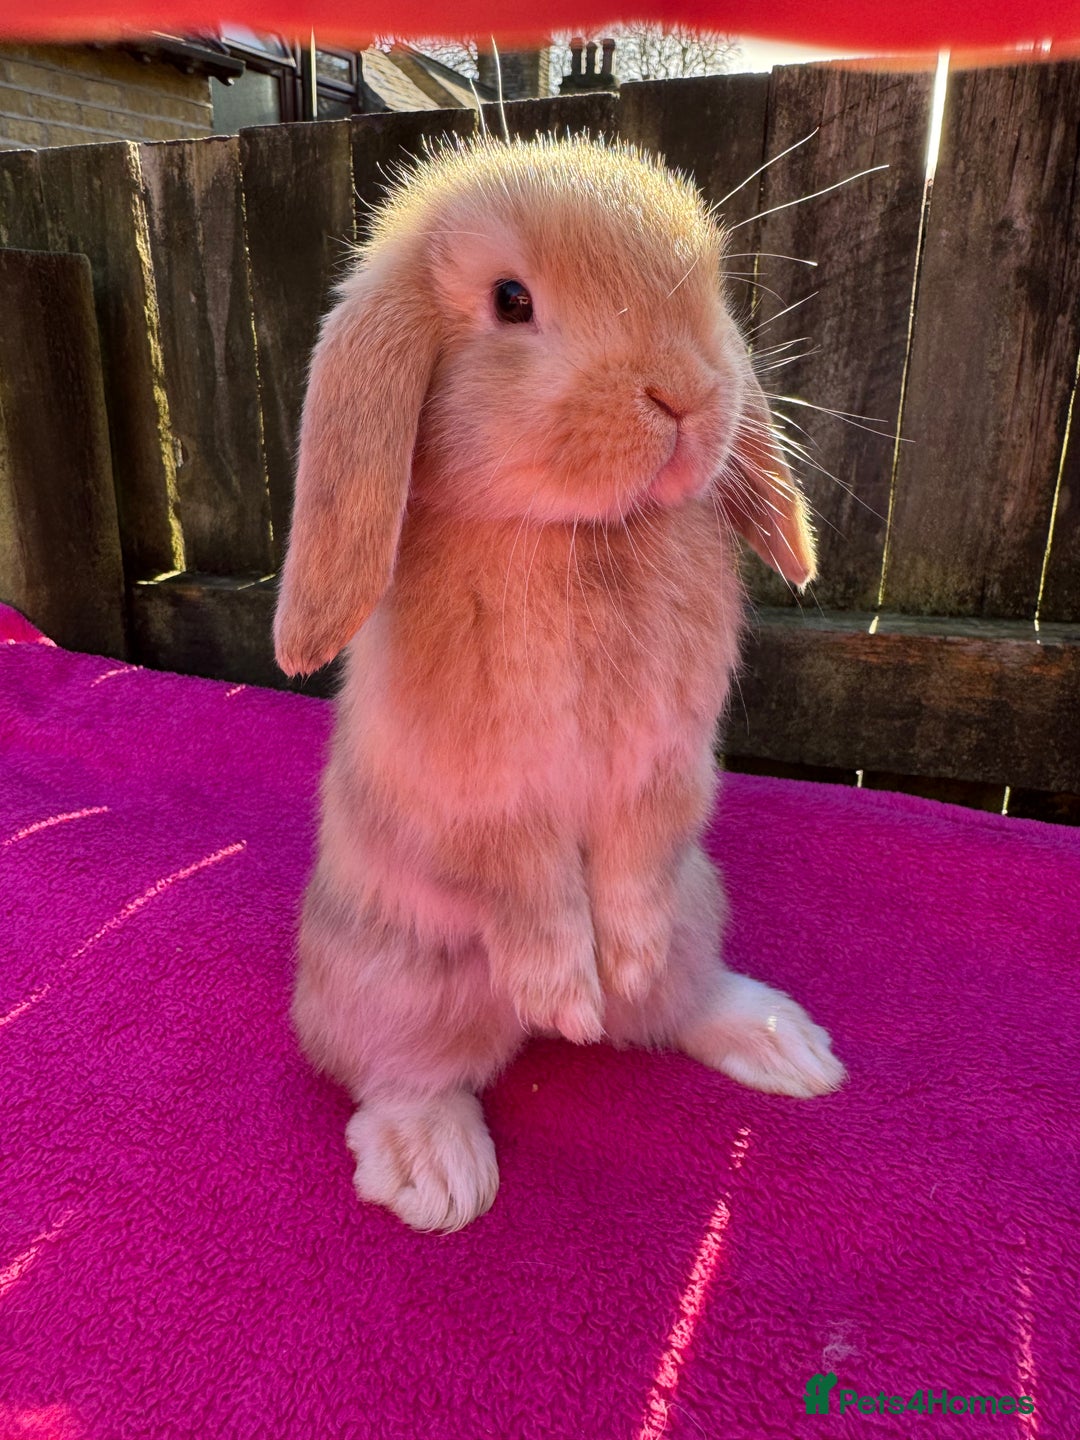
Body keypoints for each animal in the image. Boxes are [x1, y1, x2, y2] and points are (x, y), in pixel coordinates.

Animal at [274, 135, 846, 1233]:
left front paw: (615, 966)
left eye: (708, 286)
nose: (683, 394)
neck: (582, 535)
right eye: (510, 300)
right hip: (394, 975)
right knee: (395, 1070)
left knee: (674, 999)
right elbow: (524, 879)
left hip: (699, 902)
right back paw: (438, 1167)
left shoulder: (666, 771)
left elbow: (629, 862)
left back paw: (777, 1043)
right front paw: (566, 995)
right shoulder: (476, 794)